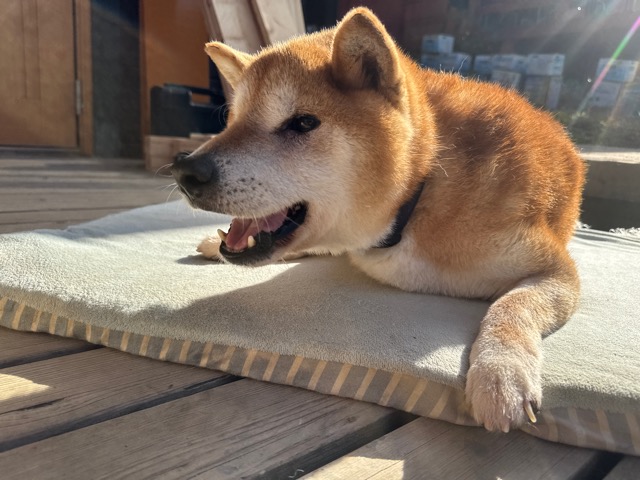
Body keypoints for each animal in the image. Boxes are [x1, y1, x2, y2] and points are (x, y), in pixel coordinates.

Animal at [171, 7, 585, 432]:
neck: (419, 192)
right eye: (231, 121)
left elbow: (511, 306)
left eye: (302, 123)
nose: (185, 171)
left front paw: (501, 374)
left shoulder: (555, 269)